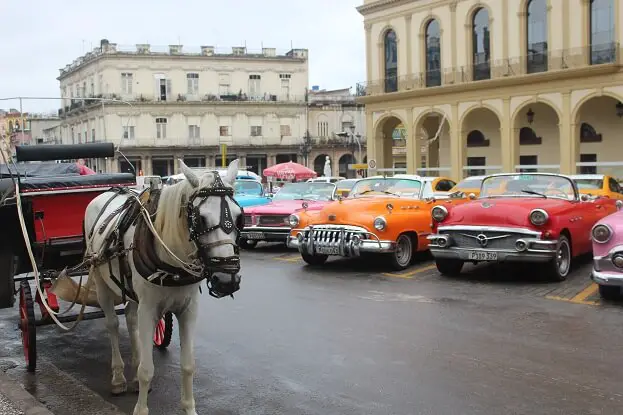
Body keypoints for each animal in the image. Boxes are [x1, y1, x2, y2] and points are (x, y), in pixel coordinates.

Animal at [84, 159, 245, 415]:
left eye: (240, 217)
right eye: (200, 219)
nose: (227, 279)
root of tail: (109, 192)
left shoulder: (188, 310)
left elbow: (188, 365)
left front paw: (189, 408)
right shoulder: (149, 309)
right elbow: (147, 370)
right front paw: (140, 409)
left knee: (131, 319)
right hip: (101, 282)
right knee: (112, 325)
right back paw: (118, 377)